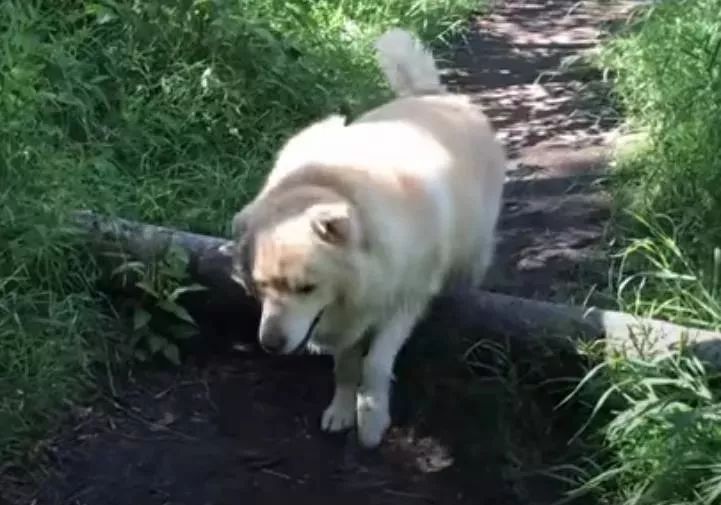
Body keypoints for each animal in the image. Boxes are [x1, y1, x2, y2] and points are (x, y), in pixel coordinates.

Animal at [219, 27, 506, 446]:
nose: (270, 345)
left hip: (475, 246)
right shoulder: (347, 320)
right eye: (261, 285)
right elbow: (346, 365)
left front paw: (371, 421)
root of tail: (432, 93)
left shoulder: (404, 302)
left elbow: (375, 364)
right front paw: (341, 411)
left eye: (306, 288)